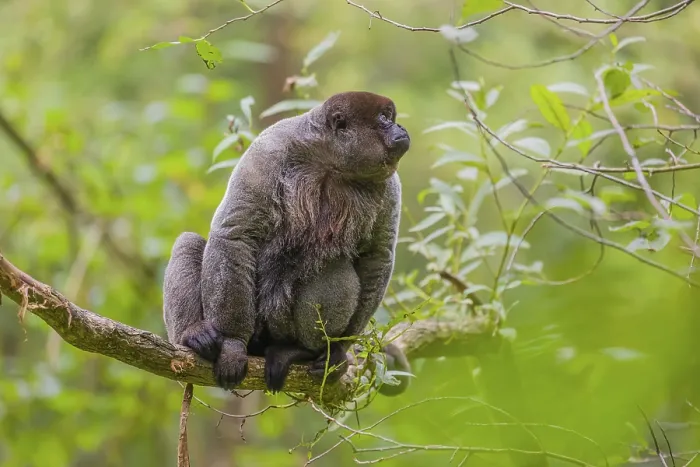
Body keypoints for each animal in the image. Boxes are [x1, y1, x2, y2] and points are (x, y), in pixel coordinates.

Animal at [163, 91, 411, 394]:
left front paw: (341, 350)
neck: (331, 159)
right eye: (384, 119)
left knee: (335, 268)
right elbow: (235, 233)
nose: (401, 127)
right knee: (189, 242)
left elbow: (378, 255)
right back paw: (193, 336)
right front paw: (232, 344)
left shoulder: (391, 186)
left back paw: (303, 351)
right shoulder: (268, 150)